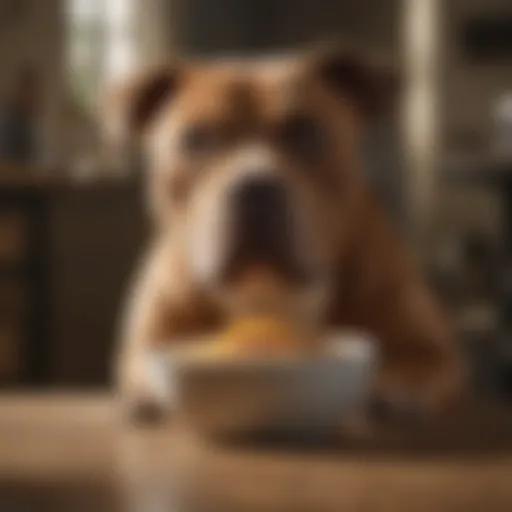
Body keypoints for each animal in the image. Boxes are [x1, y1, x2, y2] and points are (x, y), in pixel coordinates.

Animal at [105, 46, 464, 422]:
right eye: (198, 139)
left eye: (306, 132)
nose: (255, 188)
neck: (269, 288)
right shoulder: (148, 343)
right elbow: (148, 365)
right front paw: (155, 394)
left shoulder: (430, 346)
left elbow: (417, 362)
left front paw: (394, 388)